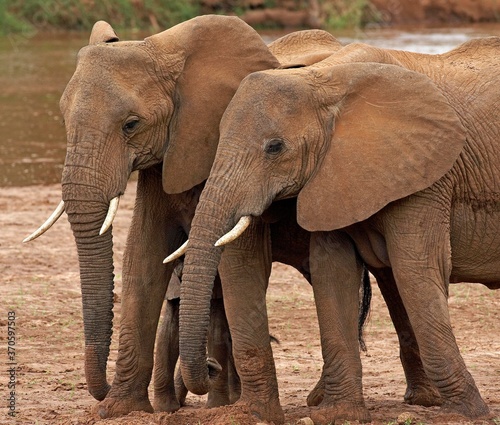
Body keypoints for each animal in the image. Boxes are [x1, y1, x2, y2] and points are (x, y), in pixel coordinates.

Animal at [22, 15, 352, 418]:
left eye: (131, 124)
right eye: (63, 118)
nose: (209, 368)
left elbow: (233, 261)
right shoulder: (168, 157)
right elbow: (143, 257)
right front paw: (118, 410)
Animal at [176, 36, 500, 424]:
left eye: (275, 147)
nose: (211, 367)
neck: (325, 80)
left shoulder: (426, 173)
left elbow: (416, 270)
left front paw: (465, 413)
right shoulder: (333, 174)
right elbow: (333, 272)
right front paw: (339, 415)